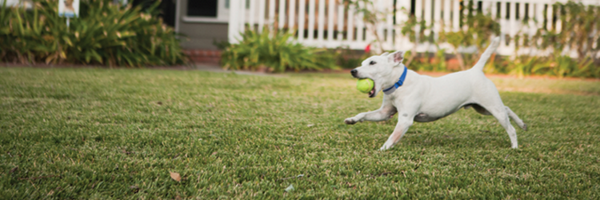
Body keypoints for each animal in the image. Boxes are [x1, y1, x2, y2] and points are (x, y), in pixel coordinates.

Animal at [344, 37, 528, 150]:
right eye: (363, 62)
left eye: (372, 62)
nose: (353, 71)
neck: (399, 83)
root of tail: (475, 70)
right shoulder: (385, 113)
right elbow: (364, 114)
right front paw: (351, 119)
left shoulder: (405, 120)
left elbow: (392, 137)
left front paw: (382, 150)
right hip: (482, 108)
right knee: (507, 108)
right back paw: (522, 124)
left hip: (492, 107)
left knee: (509, 127)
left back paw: (514, 145)